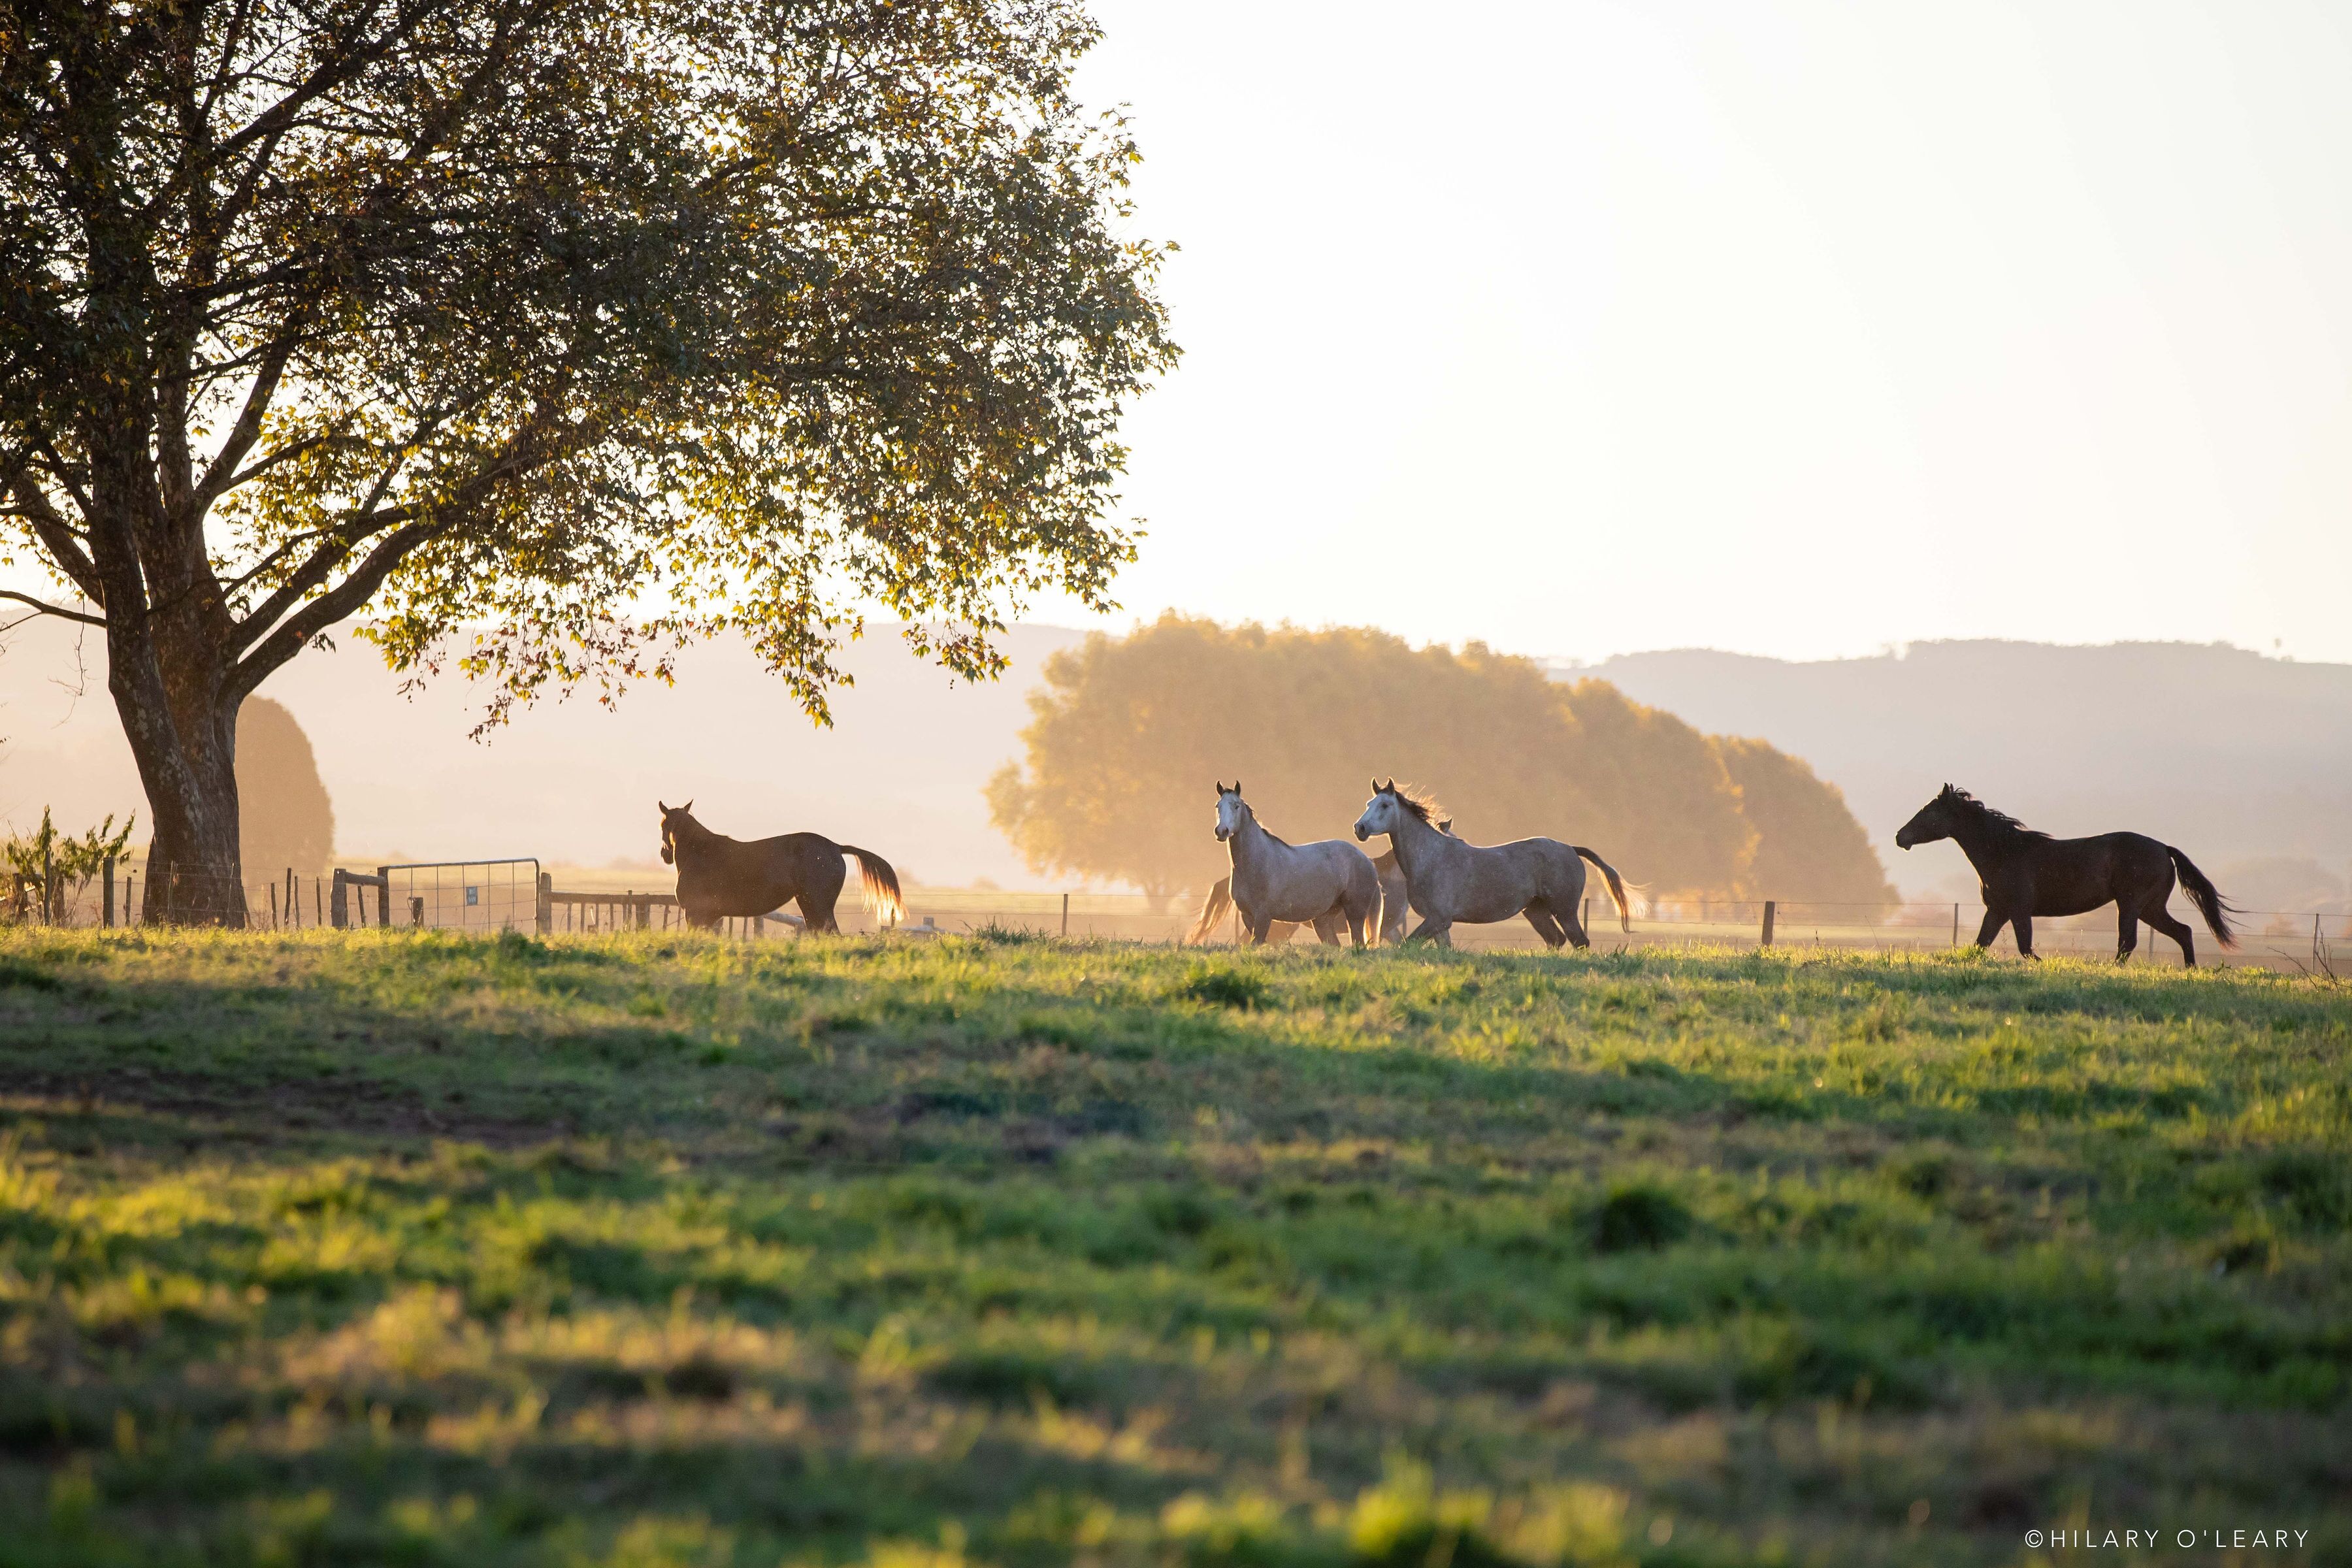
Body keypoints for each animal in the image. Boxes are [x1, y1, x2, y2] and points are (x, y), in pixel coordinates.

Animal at [657, 801, 906, 934]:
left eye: (662, 825)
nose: (664, 855)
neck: (700, 852)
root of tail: (836, 847)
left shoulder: (695, 914)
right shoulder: (709, 916)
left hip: (819, 905)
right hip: (809, 905)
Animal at [1210, 782, 1382, 946]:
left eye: (1236, 806)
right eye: (1218, 806)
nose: (1222, 831)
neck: (1254, 863)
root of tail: (1367, 860)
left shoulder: (1263, 916)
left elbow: (1256, 943)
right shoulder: (1247, 915)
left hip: (1355, 913)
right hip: (1323, 919)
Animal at [1353, 780, 1630, 949]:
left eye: (1385, 805)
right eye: (1368, 804)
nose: (1360, 828)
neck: (1430, 858)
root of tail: (1570, 848)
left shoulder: (1437, 919)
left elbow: (1408, 944)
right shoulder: (1440, 923)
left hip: (1565, 909)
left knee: (1579, 941)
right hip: (1536, 911)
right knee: (1556, 940)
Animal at [1893, 784, 2235, 965]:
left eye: (1928, 811)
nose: (1900, 837)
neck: (2004, 852)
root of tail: (2164, 848)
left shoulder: (2019, 910)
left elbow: (2026, 949)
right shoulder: (1998, 911)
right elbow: (1980, 945)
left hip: (2131, 905)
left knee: (2129, 942)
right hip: (2150, 908)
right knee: (2183, 932)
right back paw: (2190, 971)